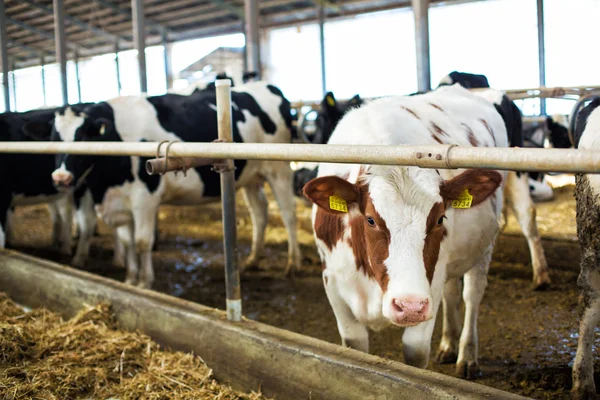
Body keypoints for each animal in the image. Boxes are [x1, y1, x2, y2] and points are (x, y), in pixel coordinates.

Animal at [1, 105, 99, 266]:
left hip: (83, 183)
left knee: (85, 220)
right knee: (62, 214)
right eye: (51, 141)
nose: (61, 176)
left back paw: (77, 259)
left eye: (82, 140)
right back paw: (60, 246)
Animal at [25, 81, 302, 288]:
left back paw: (292, 263)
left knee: (287, 212)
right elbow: (127, 241)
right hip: (250, 176)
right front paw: (130, 279)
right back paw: (252, 260)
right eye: (52, 138)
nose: (61, 178)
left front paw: (145, 282)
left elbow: (141, 242)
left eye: (83, 137)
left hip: (278, 169)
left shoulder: (144, 198)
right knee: (260, 212)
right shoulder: (121, 202)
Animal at [302, 85, 508, 378]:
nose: (409, 305)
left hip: (483, 247)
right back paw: (449, 344)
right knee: (452, 292)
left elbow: (416, 352)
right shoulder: (332, 282)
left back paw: (467, 354)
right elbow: (355, 346)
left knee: (472, 294)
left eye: (440, 218)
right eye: (370, 219)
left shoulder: (429, 287)